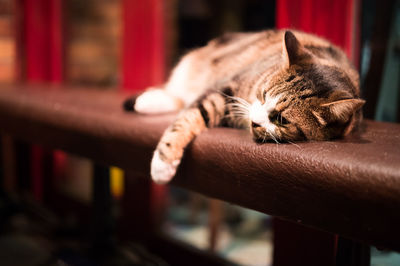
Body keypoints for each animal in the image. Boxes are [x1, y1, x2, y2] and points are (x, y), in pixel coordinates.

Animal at [124, 30, 366, 185]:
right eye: (263, 94)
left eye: (282, 119)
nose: (255, 120)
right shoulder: (223, 90)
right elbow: (188, 116)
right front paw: (162, 164)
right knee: (180, 96)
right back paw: (147, 101)